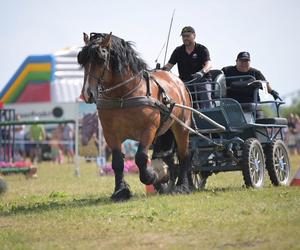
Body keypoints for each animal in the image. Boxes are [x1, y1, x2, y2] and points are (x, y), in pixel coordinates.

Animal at [78, 32, 191, 201]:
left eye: (101, 59)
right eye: (82, 60)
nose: (87, 94)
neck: (123, 96)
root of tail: (178, 81)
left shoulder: (148, 130)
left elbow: (141, 157)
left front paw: (152, 176)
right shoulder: (110, 133)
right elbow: (117, 162)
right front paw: (121, 191)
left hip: (181, 127)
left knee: (184, 155)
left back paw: (182, 186)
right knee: (167, 157)